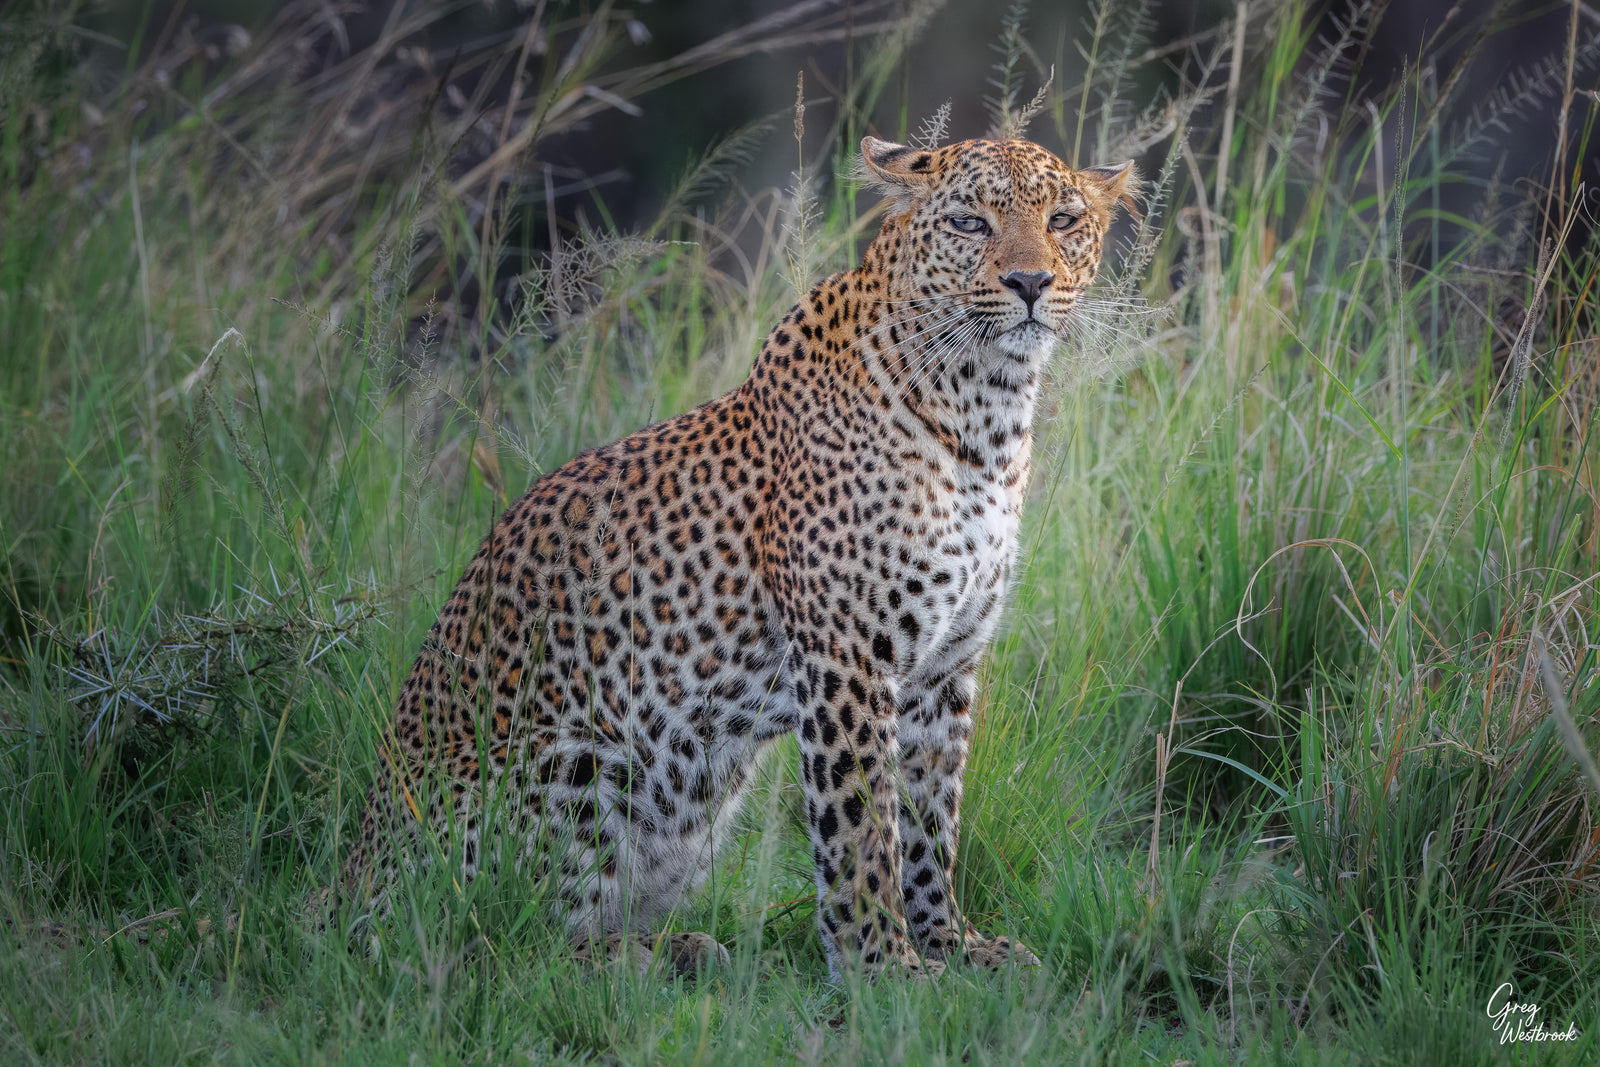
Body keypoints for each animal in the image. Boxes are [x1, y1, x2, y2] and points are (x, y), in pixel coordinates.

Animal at [334, 135, 1136, 979]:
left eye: (1063, 220)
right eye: (969, 222)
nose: (1030, 281)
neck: (988, 415)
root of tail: (344, 879)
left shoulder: (946, 666)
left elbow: (930, 820)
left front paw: (953, 943)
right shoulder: (848, 657)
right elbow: (863, 824)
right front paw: (884, 965)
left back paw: (681, 946)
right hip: (565, 768)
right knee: (495, 939)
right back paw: (645, 959)